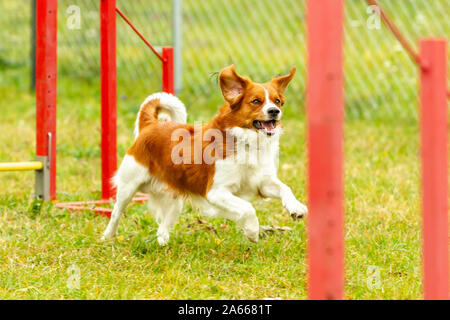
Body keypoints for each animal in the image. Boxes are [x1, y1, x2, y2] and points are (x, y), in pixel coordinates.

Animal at [102, 65, 308, 245]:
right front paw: (252, 231)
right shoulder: (216, 192)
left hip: (175, 199)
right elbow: (247, 208)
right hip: (129, 186)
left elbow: (284, 188)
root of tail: (151, 125)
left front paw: (296, 207)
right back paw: (108, 237)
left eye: (277, 101)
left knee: (162, 228)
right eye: (256, 101)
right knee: (116, 213)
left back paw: (163, 245)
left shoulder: (261, 183)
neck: (246, 141)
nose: (275, 111)